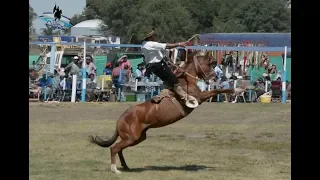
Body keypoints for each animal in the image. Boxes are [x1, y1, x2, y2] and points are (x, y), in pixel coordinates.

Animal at [89, 50, 235, 174]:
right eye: (209, 64)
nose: (215, 77)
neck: (185, 82)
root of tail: (120, 119)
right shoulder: (199, 97)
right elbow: (217, 90)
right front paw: (234, 90)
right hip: (131, 137)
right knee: (114, 148)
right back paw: (115, 169)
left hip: (137, 138)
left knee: (119, 149)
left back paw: (125, 166)